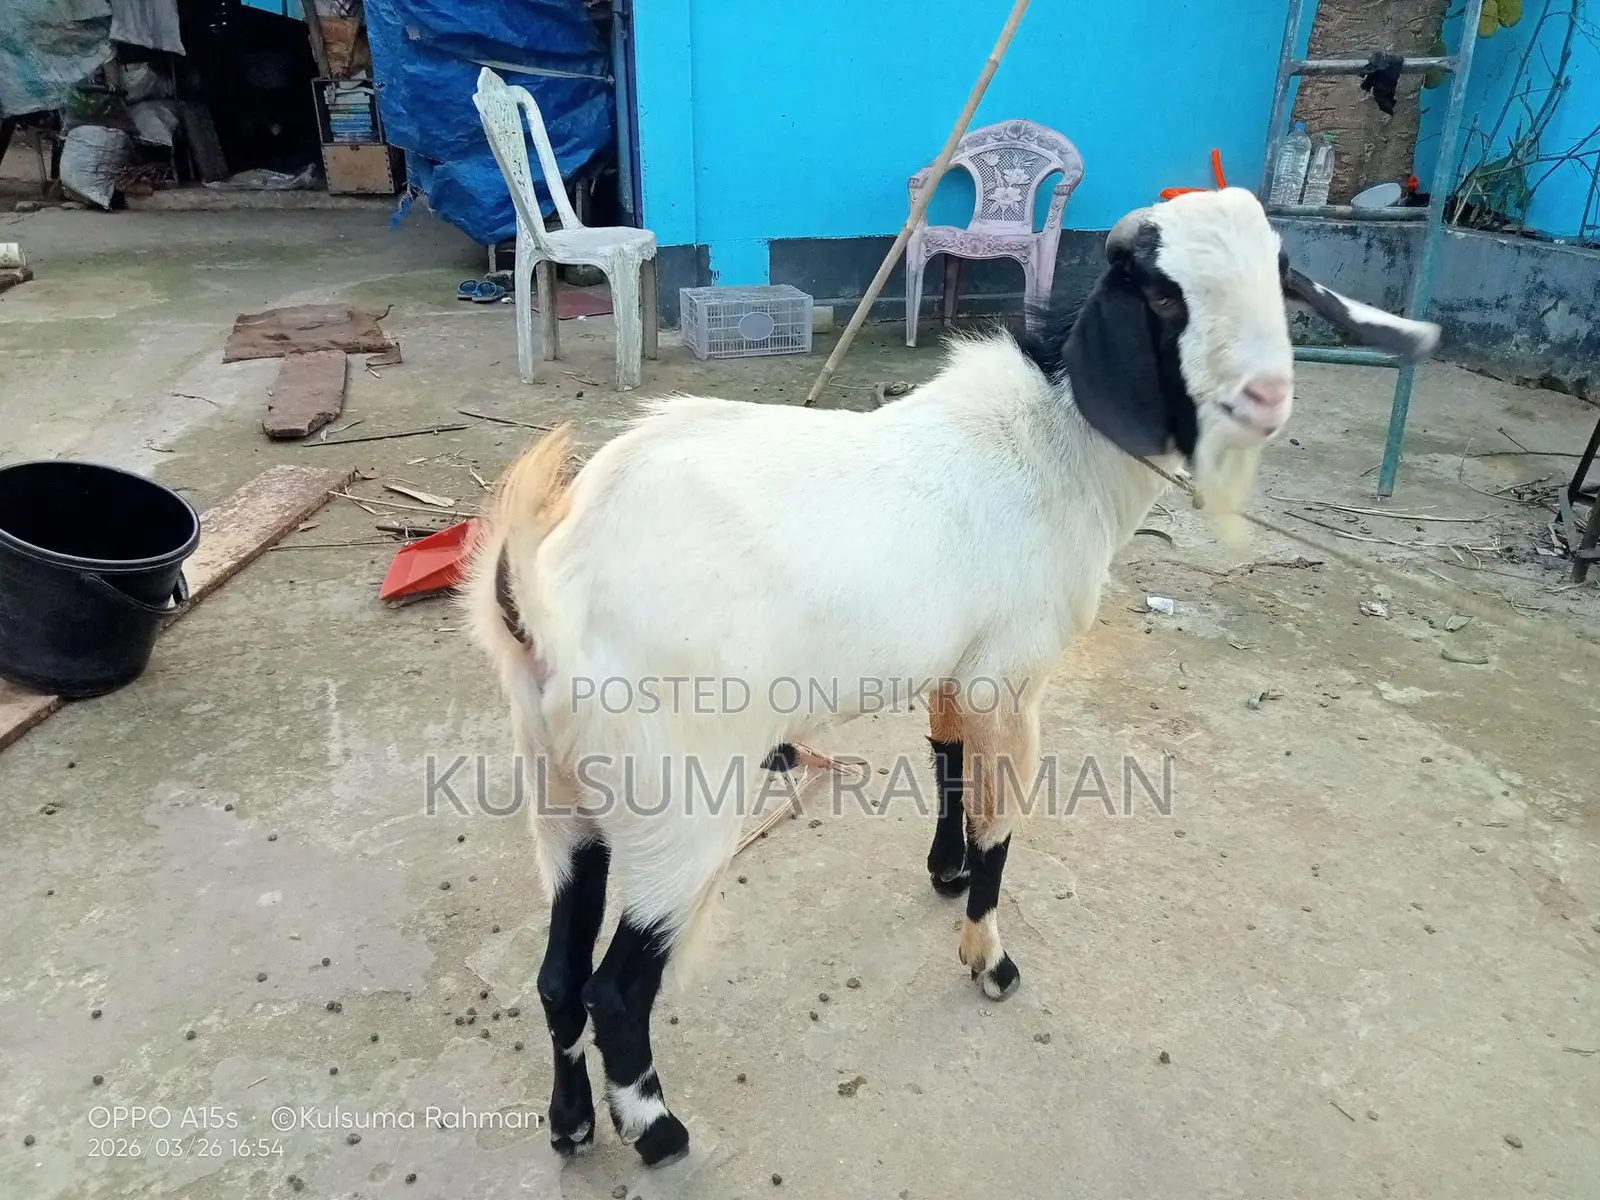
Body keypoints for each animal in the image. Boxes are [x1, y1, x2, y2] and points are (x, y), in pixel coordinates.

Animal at [462, 187, 1440, 1168]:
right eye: (1163, 296)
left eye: (1279, 274)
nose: (1267, 396)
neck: (1056, 444)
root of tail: (552, 596)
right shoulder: (1014, 675)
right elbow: (1004, 817)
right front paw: (989, 956)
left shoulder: (956, 663)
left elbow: (948, 757)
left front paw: (944, 869)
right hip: (678, 803)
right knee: (616, 989)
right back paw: (659, 1132)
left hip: (561, 793)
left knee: (555, 975)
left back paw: (572, 1123)